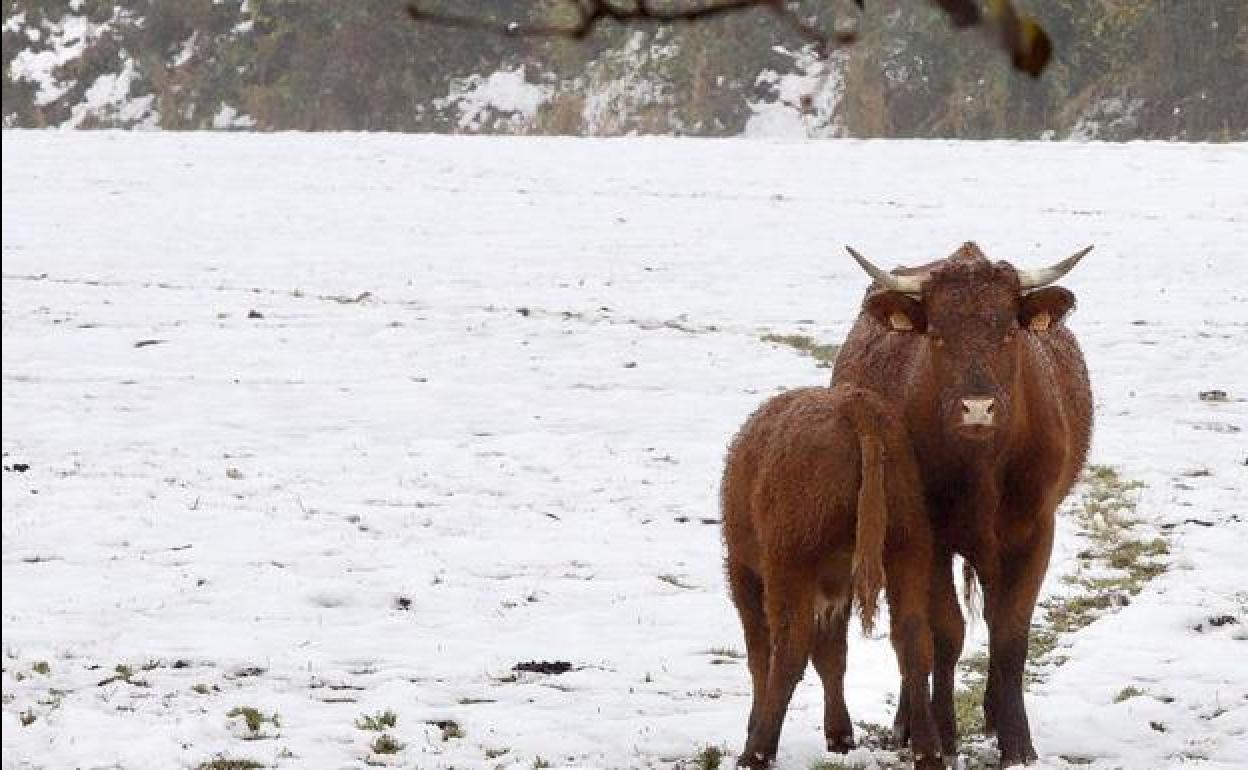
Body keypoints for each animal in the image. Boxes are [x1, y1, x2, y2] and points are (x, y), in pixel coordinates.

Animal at [723, 384, 943, 768]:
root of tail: (856, 407)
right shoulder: (836, 594)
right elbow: (832, 657)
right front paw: (840, 735)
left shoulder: (746, 575)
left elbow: (760, 656)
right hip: (908, 551)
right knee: (913, 641)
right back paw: (928, 753)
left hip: (788, 568)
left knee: (788, 652)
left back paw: (757, 753)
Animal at [838, 238, 1093, 763]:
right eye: (936, 333)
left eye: (1008, 332)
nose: (977, 408)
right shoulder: (930, 539)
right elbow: (945, 634)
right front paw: (945, 734)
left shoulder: (1034, 532)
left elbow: (1010, 633)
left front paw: (1017, 743)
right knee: (912, 635)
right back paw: (909, 724)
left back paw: (993, 714)